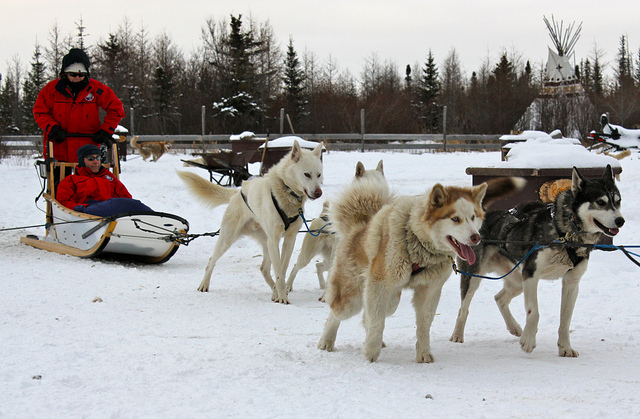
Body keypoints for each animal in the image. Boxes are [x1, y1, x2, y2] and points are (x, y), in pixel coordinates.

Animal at [176, 141, 322, 306]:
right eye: (307, 174)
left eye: (319, 174)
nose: (319, 192)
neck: (286, 192)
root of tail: (236, 192)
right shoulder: (275, 239)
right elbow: (279, 271)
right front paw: (282, 297)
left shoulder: (289, 239)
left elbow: (282, 269)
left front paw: (280, 293)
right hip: (229, 239)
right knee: (211, 260)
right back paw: (204, 284)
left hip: (267, 244)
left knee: (264, 269)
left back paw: (273, 291)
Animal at [318, 159, 524, 362]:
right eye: (455, 219)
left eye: (473, 217)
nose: (476, 237)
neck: (417, 242)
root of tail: (360, 226)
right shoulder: (379, 285)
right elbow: (377, 322)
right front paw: (371, 350)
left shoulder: (430, 290)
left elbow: (424, 325)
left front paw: (423, 353)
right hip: (353, 296)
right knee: (337, 313)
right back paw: (326, 341)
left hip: (391, 299)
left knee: (371, 315)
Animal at [450, 166, 624, 360]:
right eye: (600, 202)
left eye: (618, 201)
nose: (620, 221)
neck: (565, 233)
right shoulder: (531, 274)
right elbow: (534, 312)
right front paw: (528, 341)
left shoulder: (571, 282)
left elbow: (565, 320)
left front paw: (565, 347)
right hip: (474, 276)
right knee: (463, 308)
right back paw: (457, 335)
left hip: (517, 280)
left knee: (499, 298)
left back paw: (515, 327)